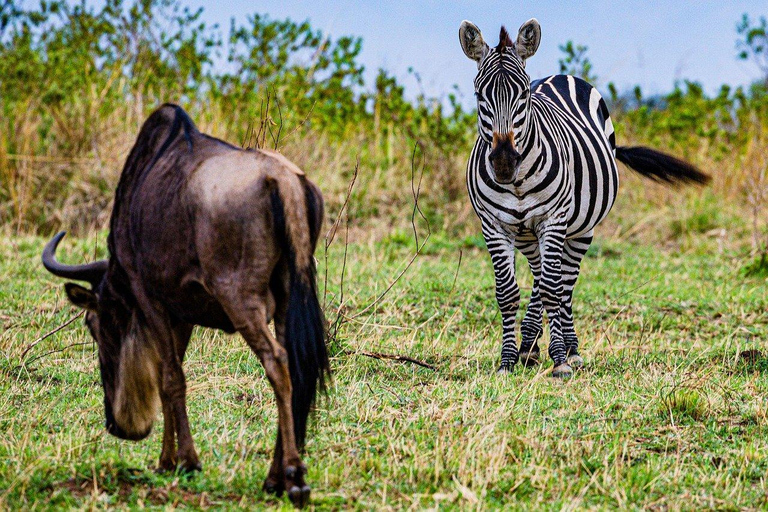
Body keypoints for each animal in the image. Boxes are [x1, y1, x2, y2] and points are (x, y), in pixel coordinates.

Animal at [456, 19, 708, 376]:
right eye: (480, 95)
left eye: (524, 94)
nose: (504, 162)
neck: (516, 183)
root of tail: (563, 75)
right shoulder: (493, 226)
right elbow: (507, 293)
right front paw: (507, 360)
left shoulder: (553, 220)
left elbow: (553, 289)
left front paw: (560, 358)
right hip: (528, 235)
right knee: (541, 279)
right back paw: (529, 346)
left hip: (580, 229)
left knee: (563, 284)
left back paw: (568, 349)